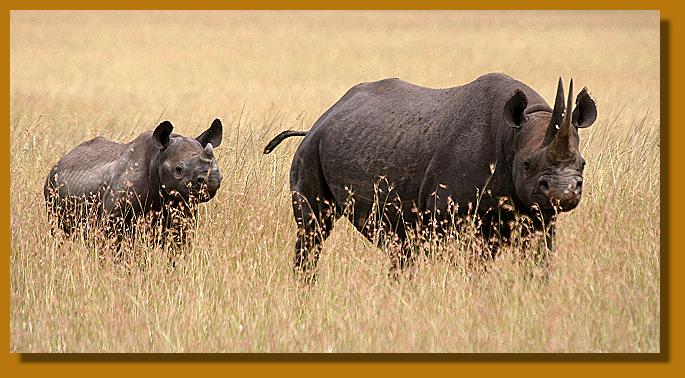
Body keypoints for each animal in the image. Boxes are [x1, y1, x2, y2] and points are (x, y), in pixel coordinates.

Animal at [43, 119, 224, 247]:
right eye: (178, 169)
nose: (213, 180)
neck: (157, 158)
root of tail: (60, 161)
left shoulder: (182, 212)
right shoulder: (114, 219)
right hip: (52, 186)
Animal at [264, 74, 596, 280]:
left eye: (582, 164)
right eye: (526, 165)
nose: (563, 192)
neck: (513, 136)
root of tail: (322, 118)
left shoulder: (540, 216)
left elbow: (539, 261)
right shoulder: (454, 217)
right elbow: (474, 264)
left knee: (401, 245)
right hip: (311, 149)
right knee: (313, 230)